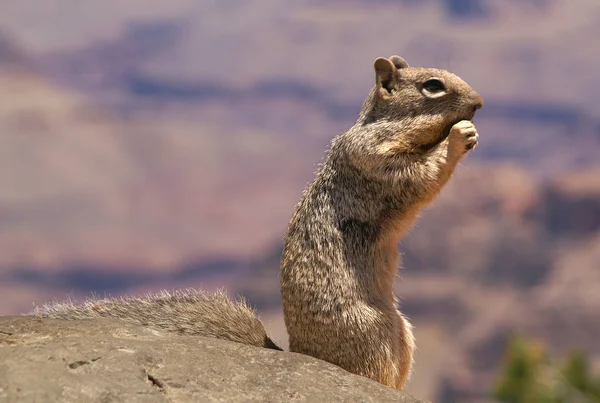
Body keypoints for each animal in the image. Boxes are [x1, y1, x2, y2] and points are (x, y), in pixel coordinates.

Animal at [31, 56, 482, 392]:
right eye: (432, 85)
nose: (479, 102)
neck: (385, 124)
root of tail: (300, 351)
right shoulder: (376, 159)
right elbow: (420, 177)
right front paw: (460, 135)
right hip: (379, 330)